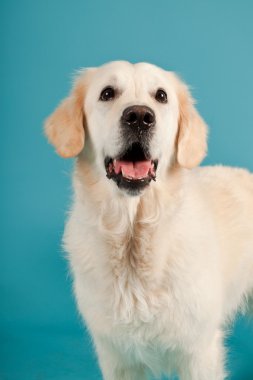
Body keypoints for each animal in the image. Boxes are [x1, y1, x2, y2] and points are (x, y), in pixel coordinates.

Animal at [45, 60, 253, 378]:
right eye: (107, 93)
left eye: (161, 96)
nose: (140, 117)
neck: (134, 236)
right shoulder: (118, 358)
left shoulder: (199, 353)